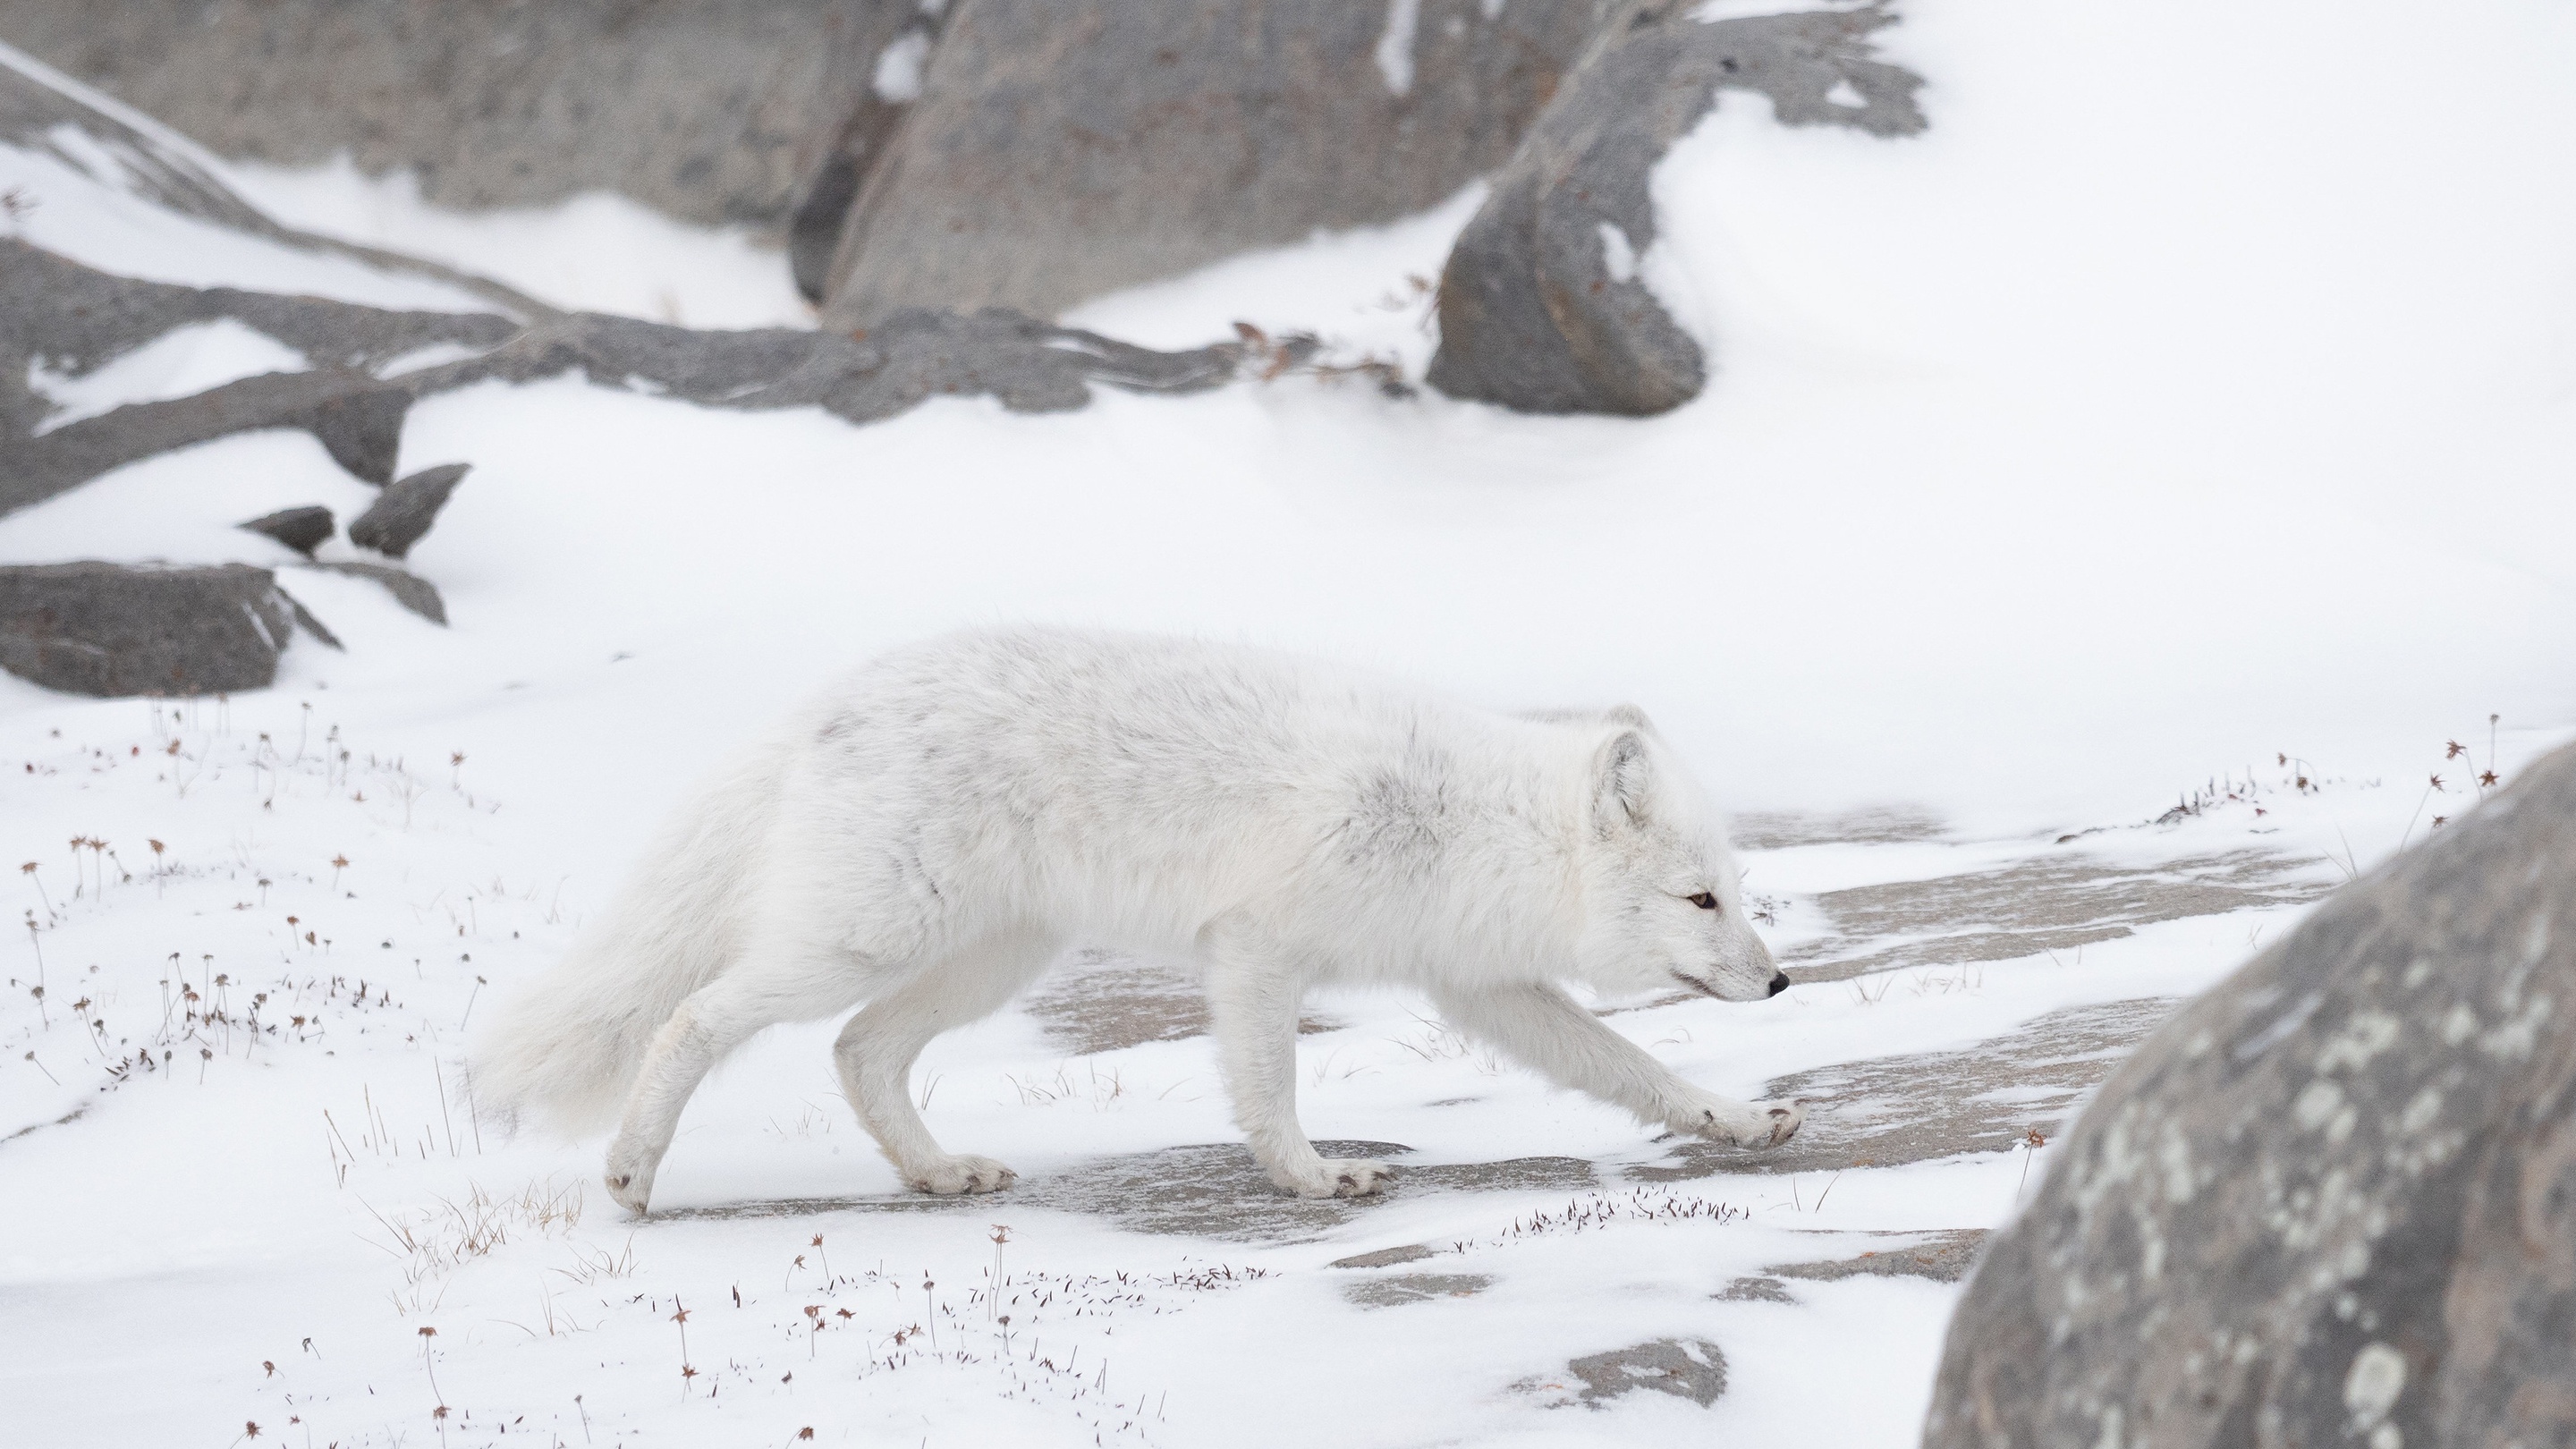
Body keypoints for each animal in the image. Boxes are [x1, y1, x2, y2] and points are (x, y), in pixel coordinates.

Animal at [473, 623, 1803, 1207]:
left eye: (1741, 895)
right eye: (1700, 899)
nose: (1784, 983)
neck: (1471, 827)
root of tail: (826, 702)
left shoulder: (1484, 988)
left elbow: (1633, 1069)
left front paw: (1738, 1119)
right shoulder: (1258, 950)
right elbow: (1268, 1090)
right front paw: (1311, 1178)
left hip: (990, 961)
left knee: (860, 1052)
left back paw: (936, 1173)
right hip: (862, 942)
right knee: (693, 1019)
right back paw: (632, 1173)